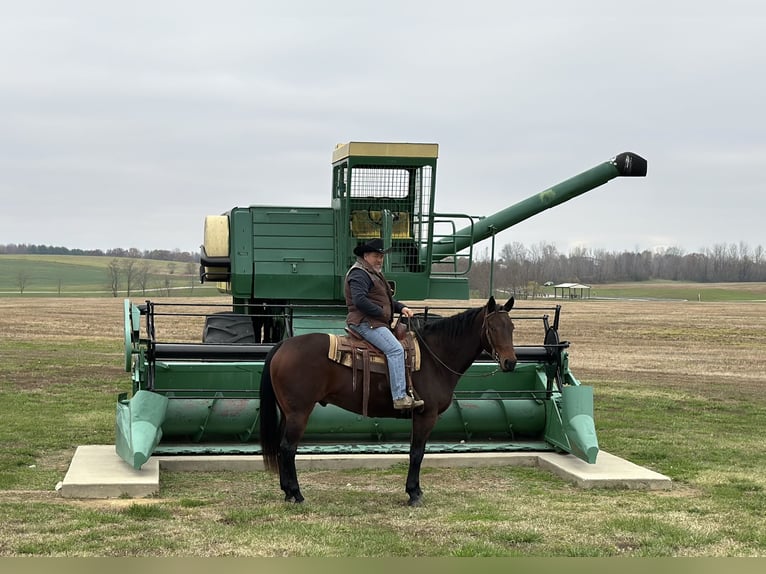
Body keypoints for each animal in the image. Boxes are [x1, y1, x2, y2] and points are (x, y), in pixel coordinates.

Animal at [260, 296, 520, 508]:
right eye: (492, 327)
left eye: (511, 327)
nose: (510, 362)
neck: (434, 358)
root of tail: (284, 344)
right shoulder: (425, 416)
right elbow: (417, 453)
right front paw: (414, 493)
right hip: (300, 413)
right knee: (288, 448)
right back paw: (296, 494)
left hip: (288, 413)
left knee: (283, 447)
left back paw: (287, 492)